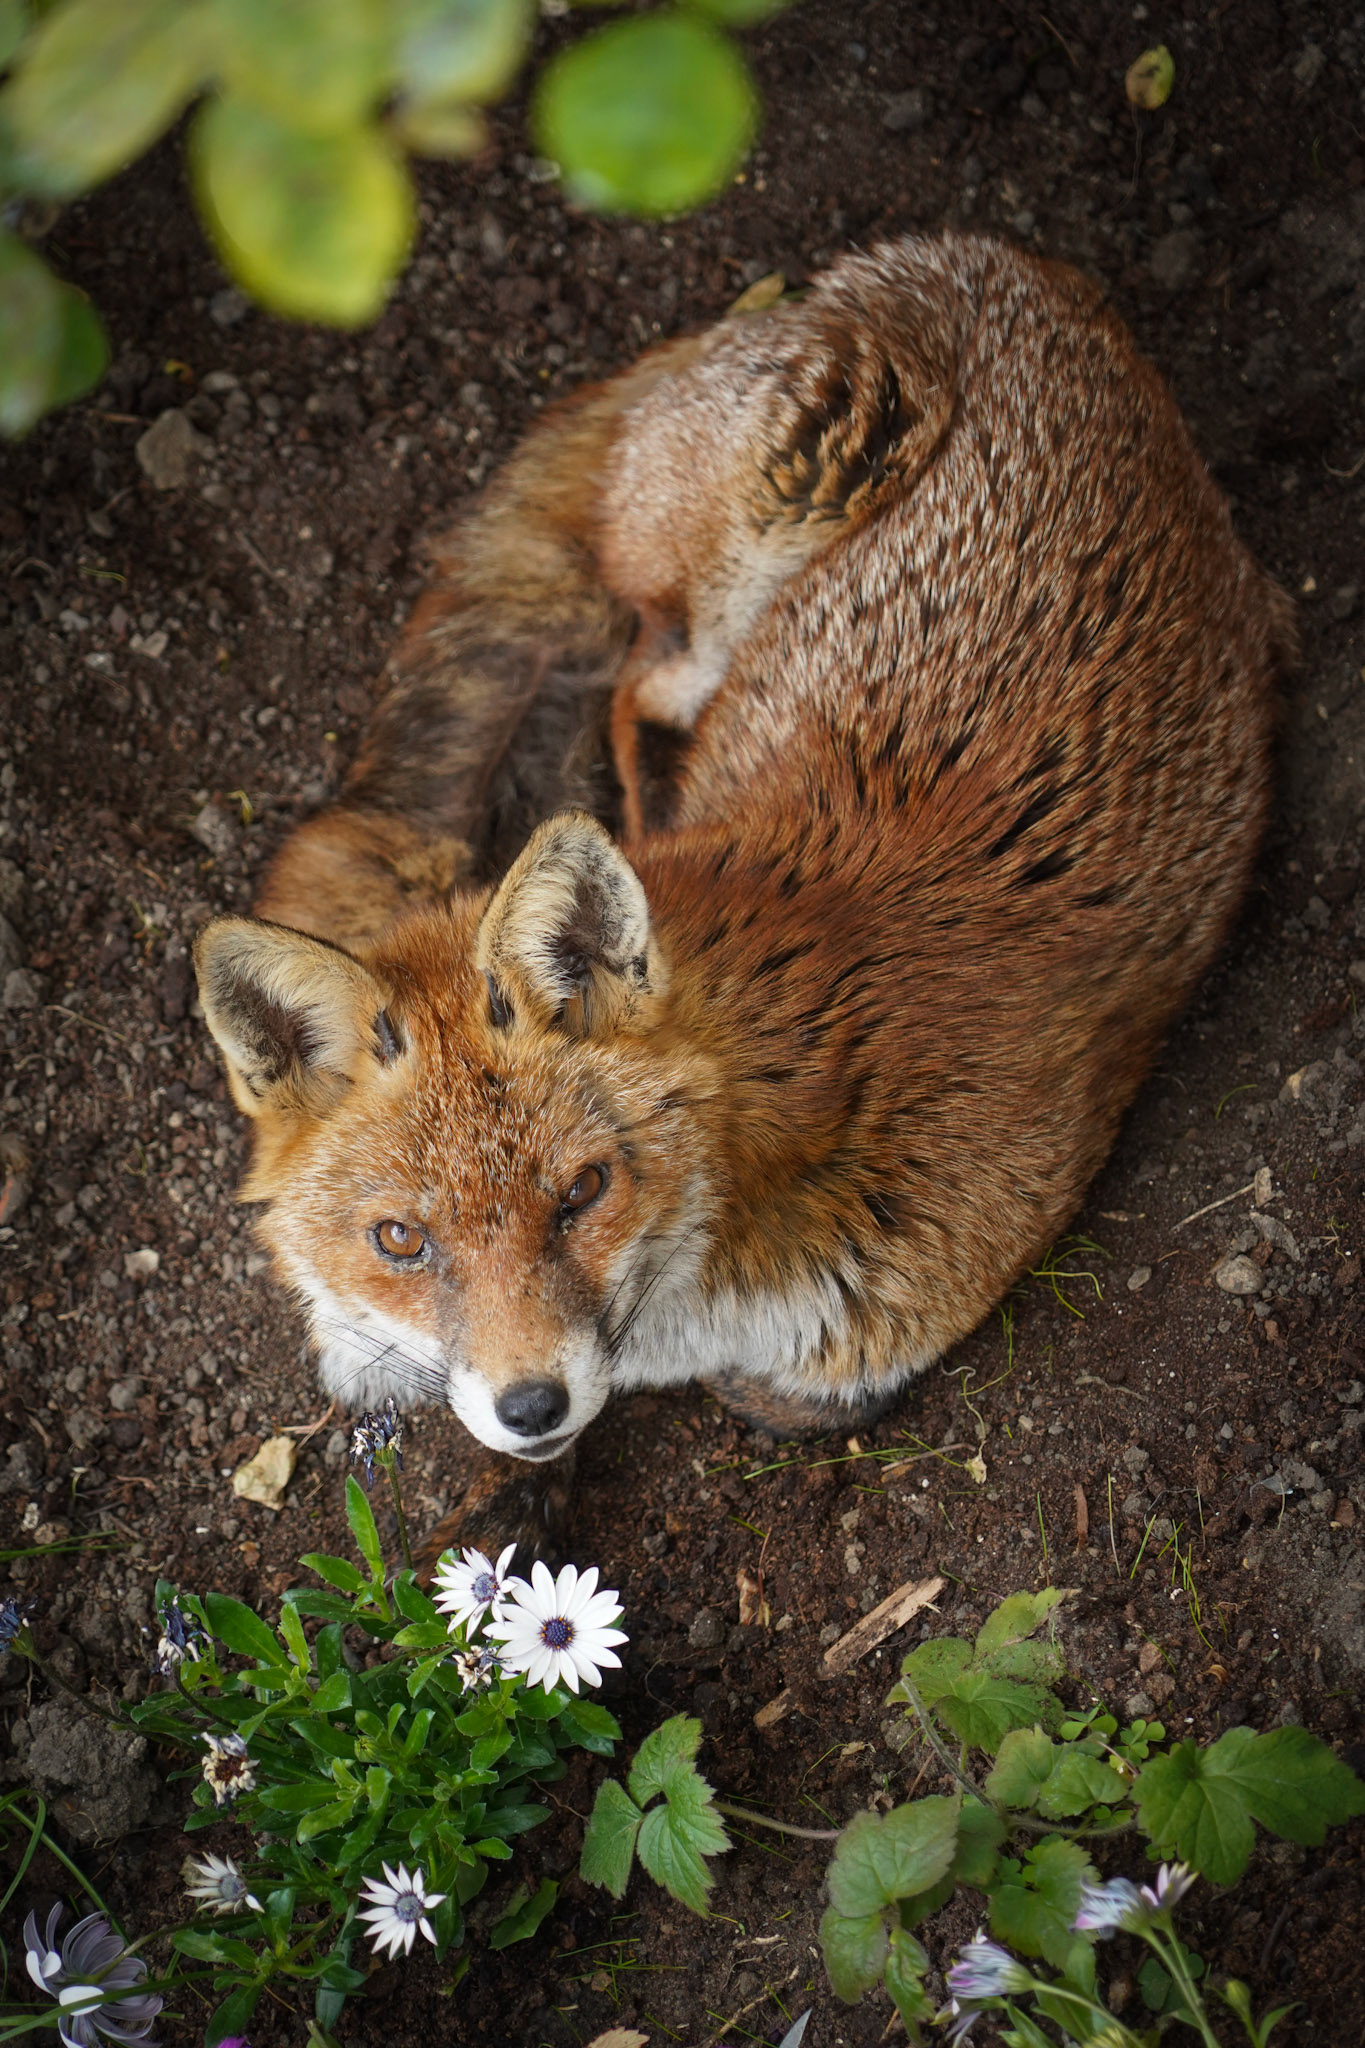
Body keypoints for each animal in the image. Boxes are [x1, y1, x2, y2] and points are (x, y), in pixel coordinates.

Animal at [194, 232, 1292, 1562]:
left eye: (583, 1192)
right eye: (402, 1239)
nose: (528, 1403)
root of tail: (983, 257)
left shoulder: (919, 1287)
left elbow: (765, 1399)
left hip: (798, 497)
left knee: (632, 672)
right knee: (630, 672)